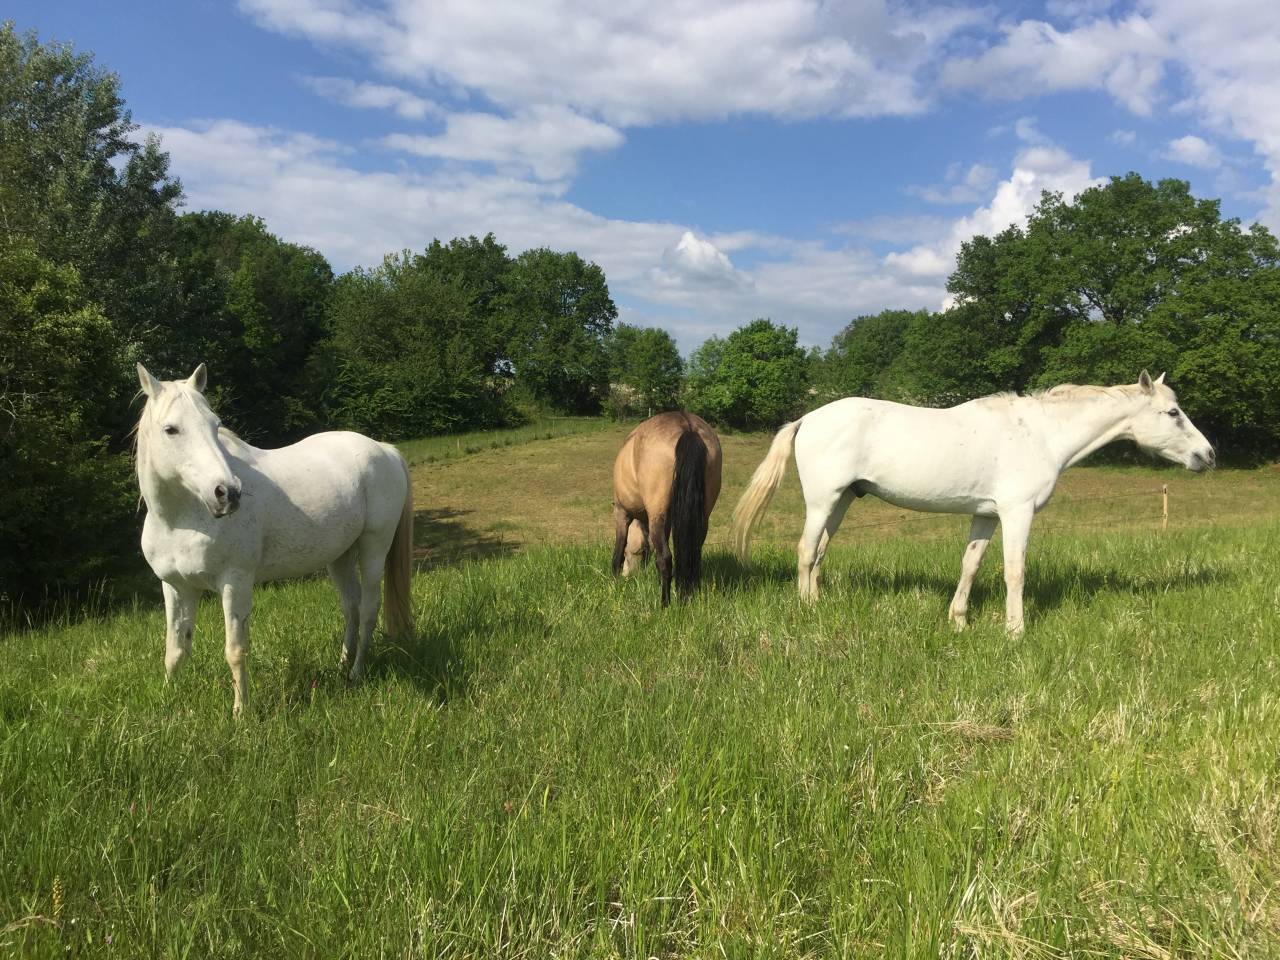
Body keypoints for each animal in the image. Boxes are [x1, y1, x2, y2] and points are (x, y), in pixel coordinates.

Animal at [134, 363, 415, 715]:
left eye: (215, 425)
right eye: (171, 429)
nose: (228, 493)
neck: (181, 519)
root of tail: (384, 450)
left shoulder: (235, 583)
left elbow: (235, 650)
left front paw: (241, 712)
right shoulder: (176, 587)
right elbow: (175, 651)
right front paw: (167, 702)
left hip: (374, 548)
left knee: (367, 610)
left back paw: (356, 671)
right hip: (340, 556)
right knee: (350, 606)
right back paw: (341, 665)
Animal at [612, 411, 723, 606]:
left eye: (636, 552)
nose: (629, 576)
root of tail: (687, 426)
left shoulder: (621, 513)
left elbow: (618, 551)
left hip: (656, 516)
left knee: (665, 558)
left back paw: (665, 603)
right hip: (701, 519)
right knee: (693, 555)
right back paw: (688, 595)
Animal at [730, 371, 1214, 634]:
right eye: (1173, 413)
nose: (1208, 456)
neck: (1041, 434)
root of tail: (807, 418)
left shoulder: (986, 515)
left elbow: (971, 565)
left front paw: (959, 621)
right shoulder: (1017, 513)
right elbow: (1015, 572)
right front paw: (1015, 631)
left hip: (844, 500)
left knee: (820, 554)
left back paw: (819, 603)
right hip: (822, 500)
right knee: (805, 550)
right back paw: (806, 610)